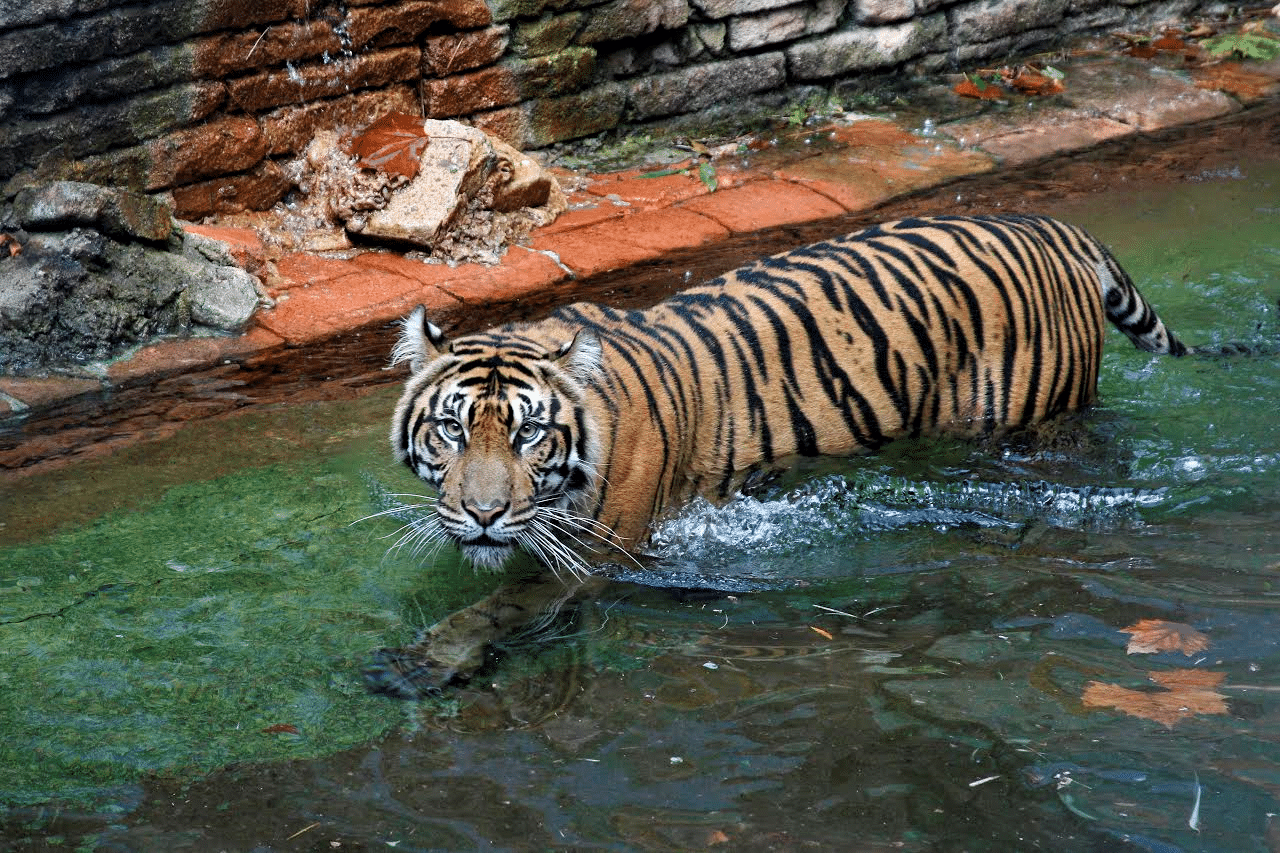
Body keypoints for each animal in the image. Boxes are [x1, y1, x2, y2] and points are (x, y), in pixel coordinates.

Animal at [366, 208, 1182, 696]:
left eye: (530, 433)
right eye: (451, 429)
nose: (483, 513)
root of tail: (1050, 224)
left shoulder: (597, 558)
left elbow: (496, 606)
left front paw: (422, 662)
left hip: (1040, 428)